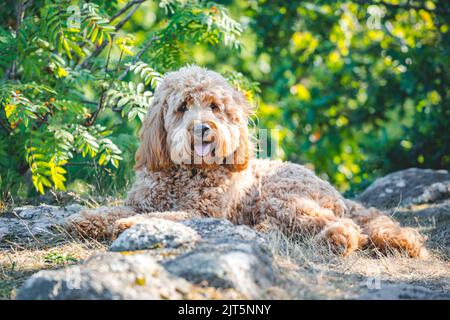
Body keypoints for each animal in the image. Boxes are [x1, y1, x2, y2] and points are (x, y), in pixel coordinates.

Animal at [67, 65, 426, 258]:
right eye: (182, 107)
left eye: (214, 106)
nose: (203, 129)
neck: (188, 174)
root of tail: (336, 193)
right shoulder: (143, 200)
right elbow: (113, 210)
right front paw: (85, 219)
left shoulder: (204, 213)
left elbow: (165, 216)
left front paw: (130, 225)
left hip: (283, 199)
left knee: (346, 227)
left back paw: (335, 239)